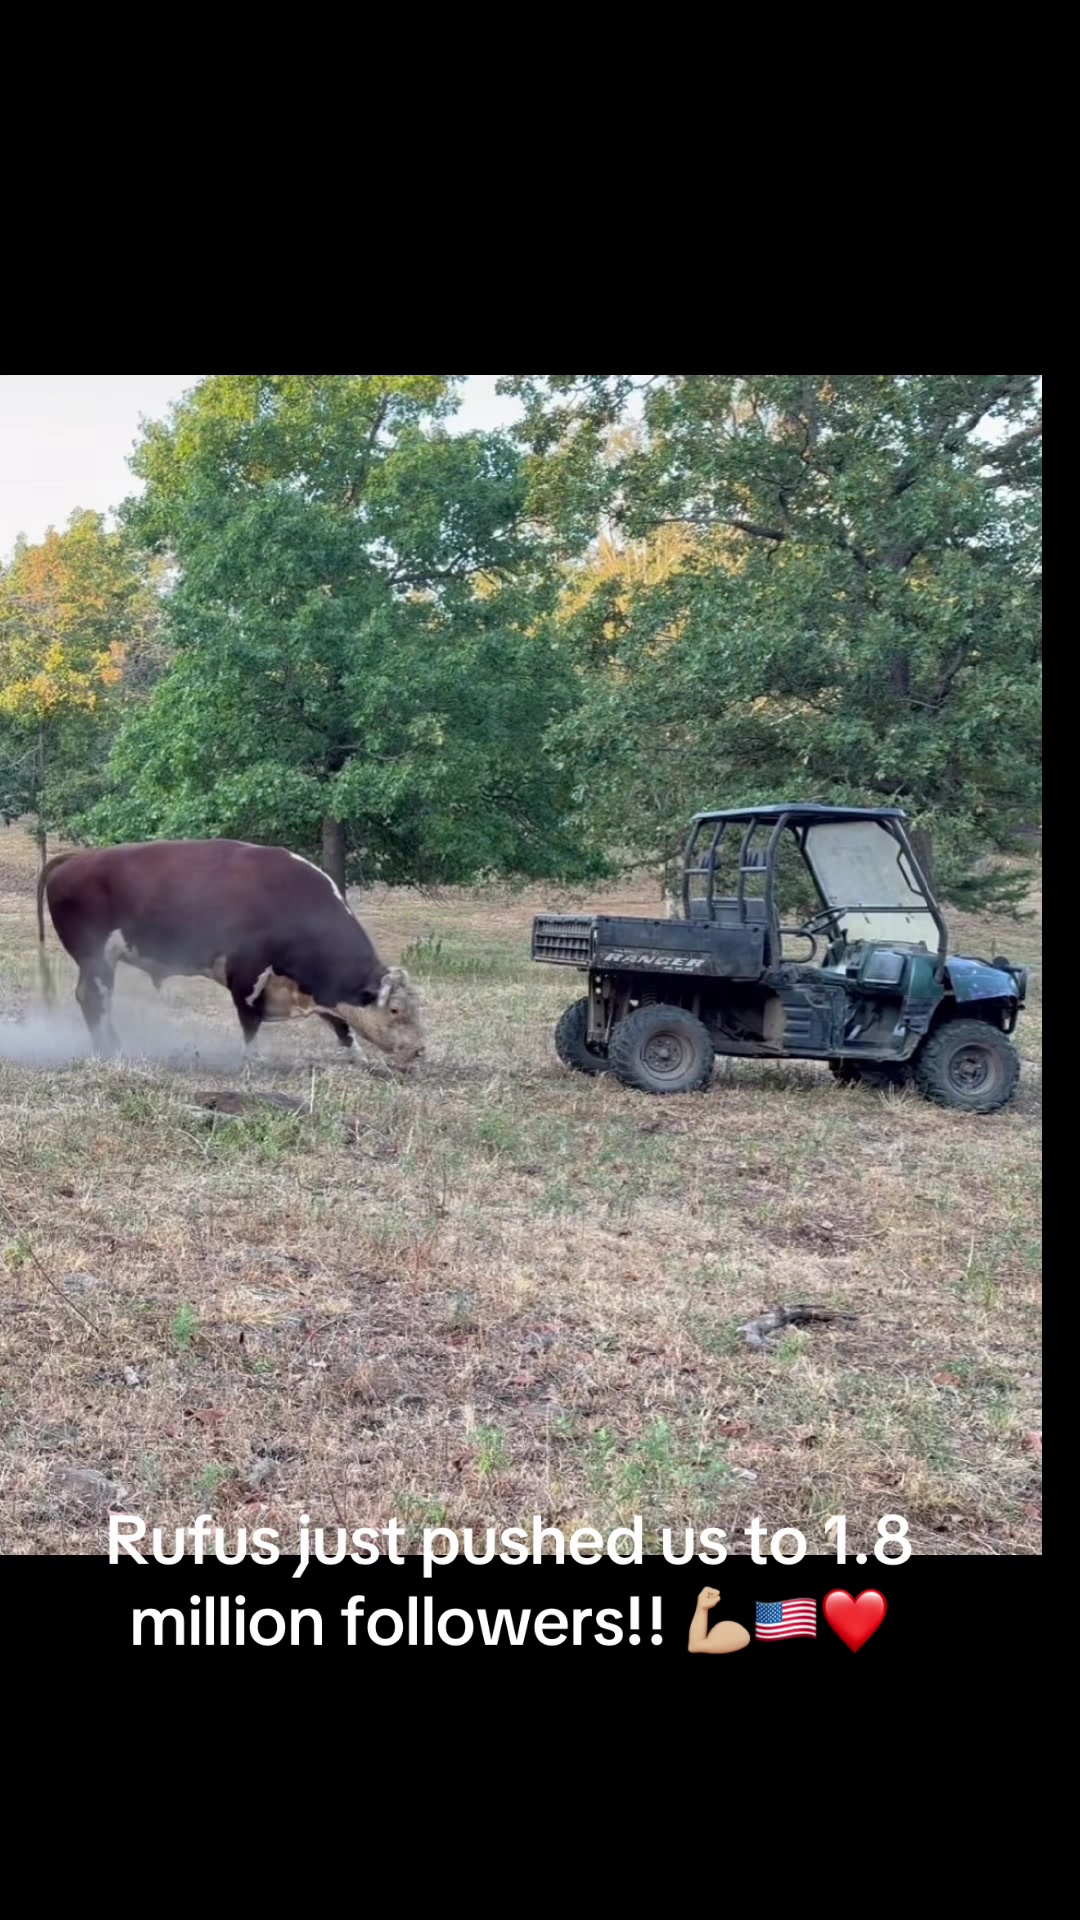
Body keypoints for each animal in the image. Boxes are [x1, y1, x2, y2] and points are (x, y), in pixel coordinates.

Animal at [35, 839, 425, 1068]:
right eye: (395, 1009)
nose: (420, 1049)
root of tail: (77, 858)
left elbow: (341, 1023)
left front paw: (359, 1056)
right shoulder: (247, 974)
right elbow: (249, 1019)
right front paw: (251, 1059)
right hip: (97, 959)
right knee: (94, 999)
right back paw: (113, 1048)